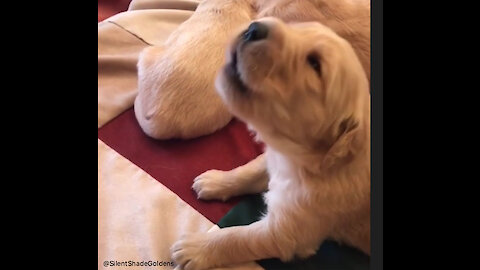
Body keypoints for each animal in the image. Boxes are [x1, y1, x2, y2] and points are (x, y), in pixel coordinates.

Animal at [172, 16, 372, 270]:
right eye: (297, 28)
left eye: (314, 64)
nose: (254, 28)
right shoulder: (274, 159)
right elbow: (249, 171)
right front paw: (216, 181)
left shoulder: (290, 232)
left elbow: (239, 238)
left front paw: (196, 248)